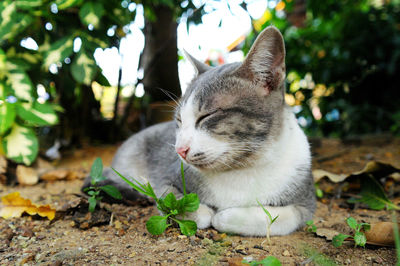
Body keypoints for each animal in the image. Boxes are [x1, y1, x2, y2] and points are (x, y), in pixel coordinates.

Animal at [83, 26, 316, 236]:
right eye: (179, 120)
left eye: (207, 116)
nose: (179, 150)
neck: (243, 167)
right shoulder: (165, 180)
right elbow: (175, 202)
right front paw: (203, 212)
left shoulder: (307, 203)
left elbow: (285, 217)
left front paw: (227, 215)